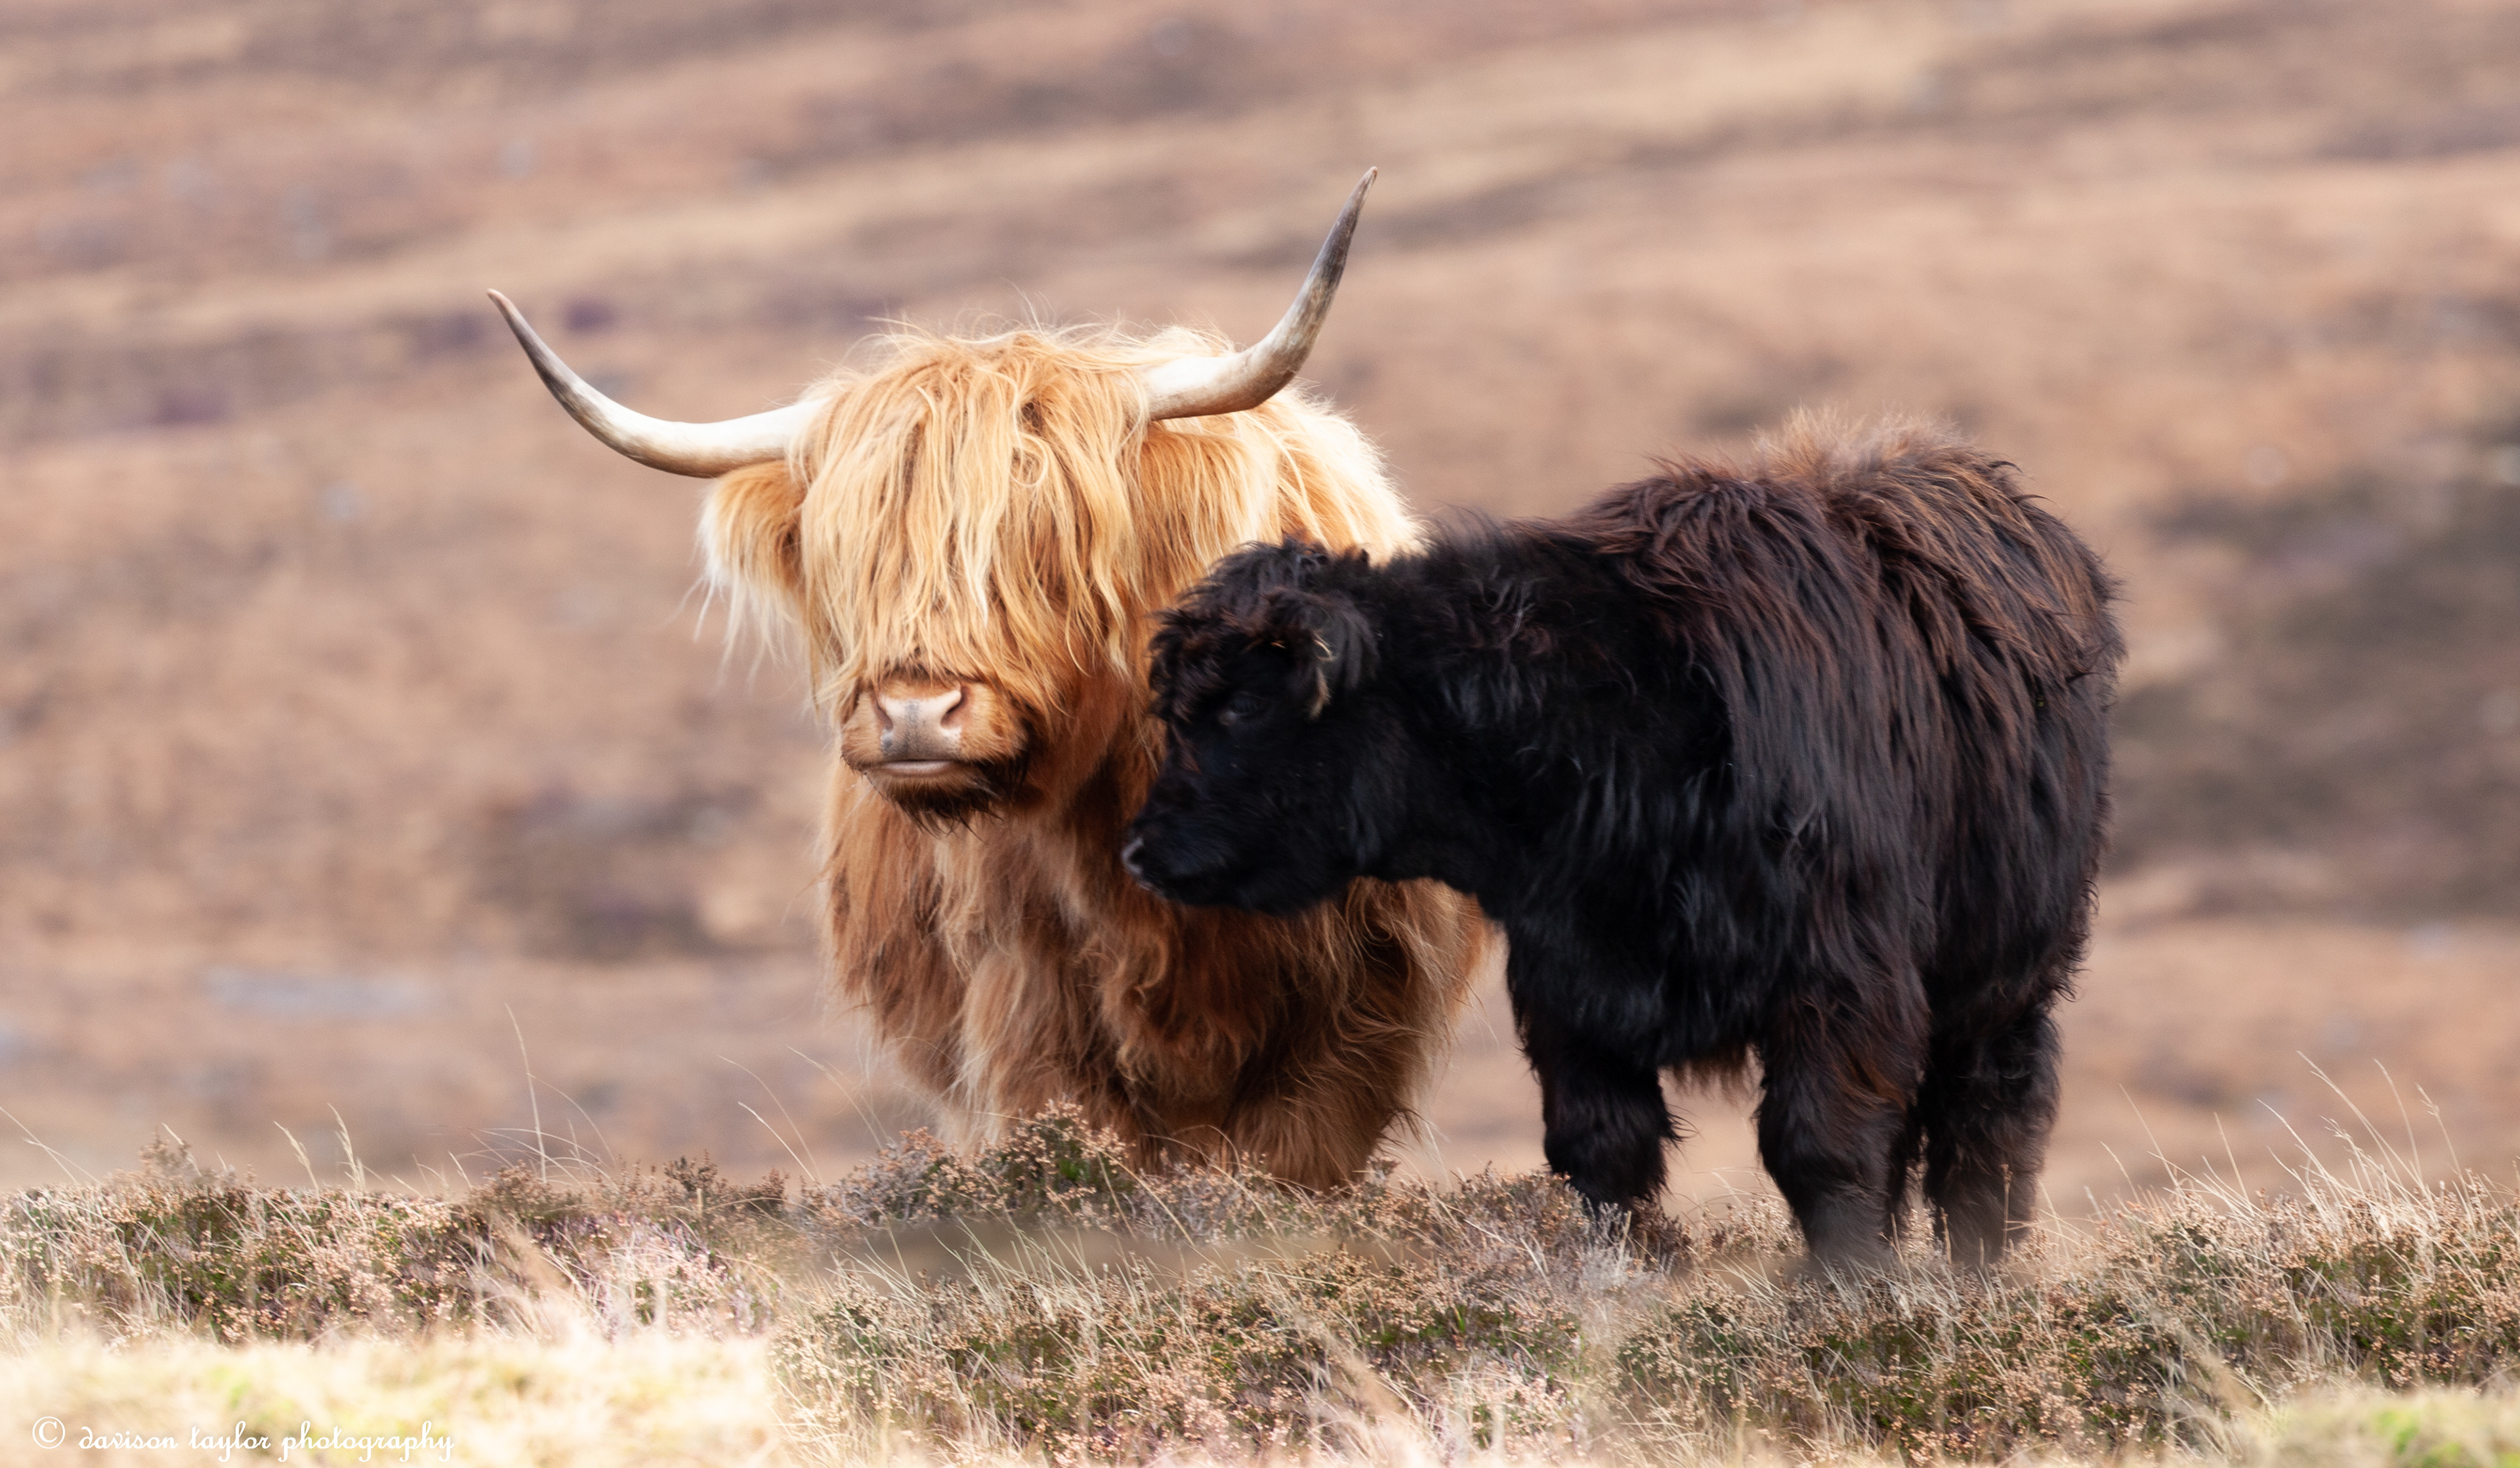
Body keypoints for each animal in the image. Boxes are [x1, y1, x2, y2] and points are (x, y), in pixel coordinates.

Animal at [1122, 416, 2122, 1265]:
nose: (1141, 848)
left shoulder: (1842, 977)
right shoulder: (1570, 989)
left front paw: (1848, 1303)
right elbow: (1603, 1153)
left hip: (2005, 973)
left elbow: (1822, 1148)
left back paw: (1978, 1276)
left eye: (1243, 705)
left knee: (1990, 1124)